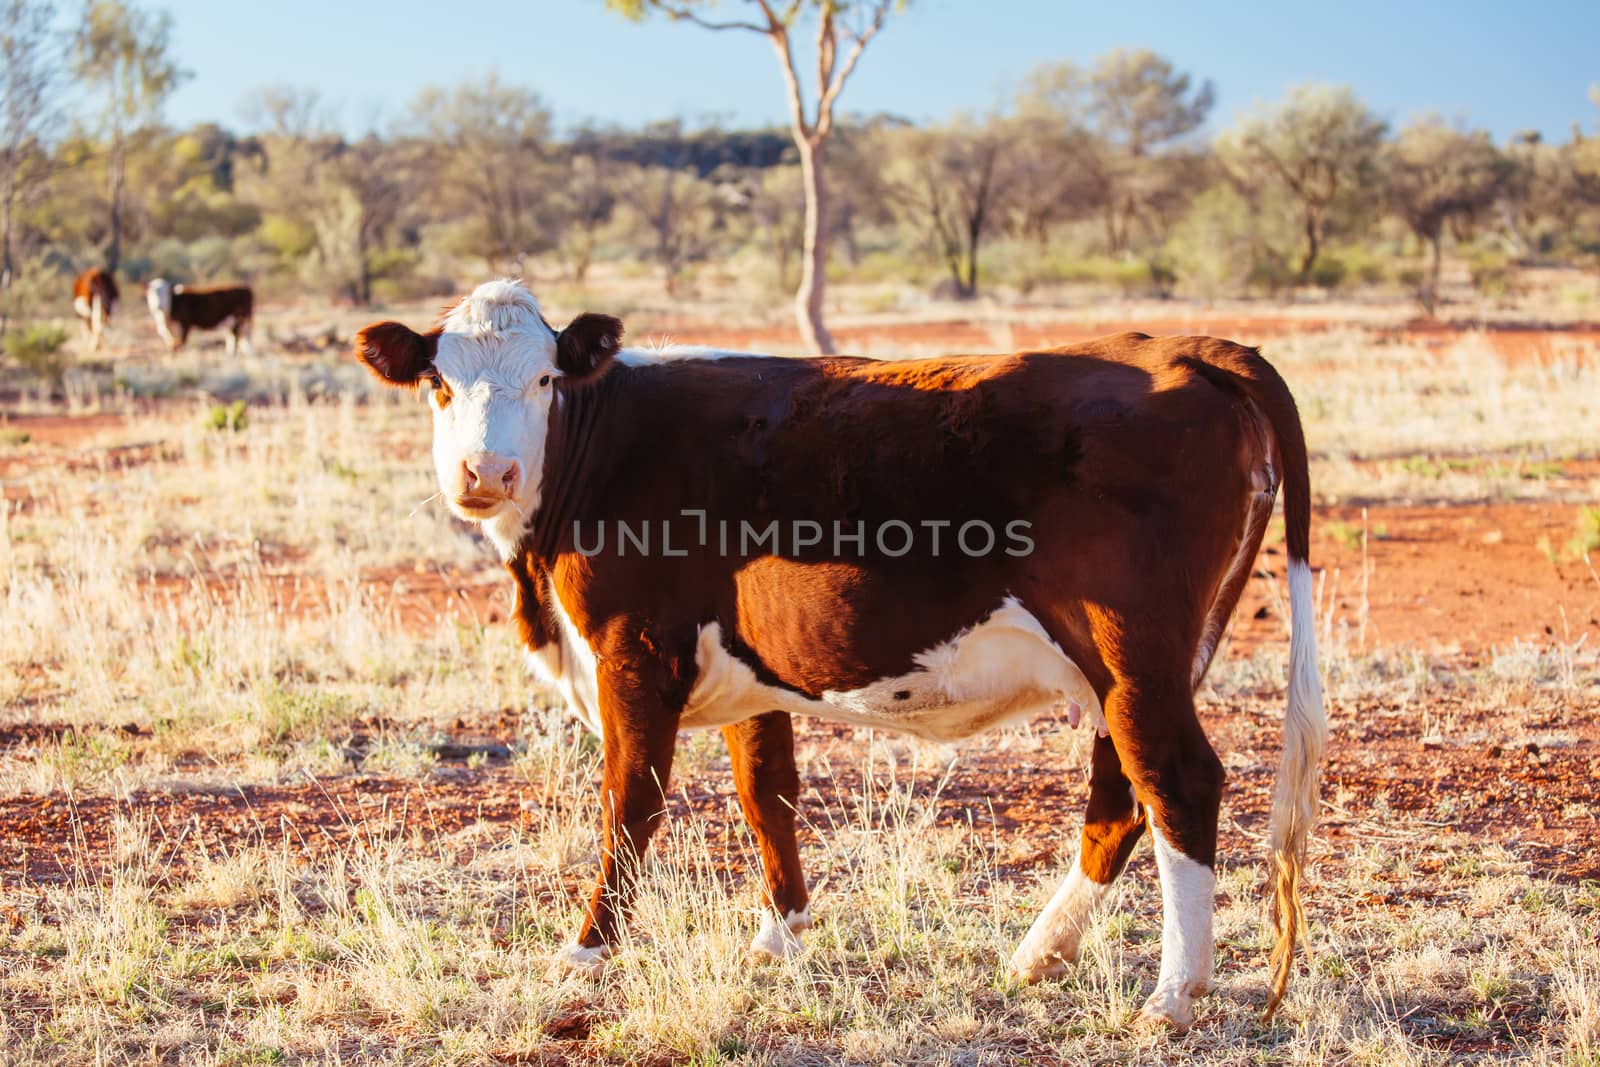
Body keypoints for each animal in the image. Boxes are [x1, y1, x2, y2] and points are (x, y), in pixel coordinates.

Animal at [356, 279, 1331, 1030]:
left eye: (546, 377)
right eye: (438, 382)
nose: (486, 474)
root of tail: (1188, 349)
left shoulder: (634, 653)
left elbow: (629, 803)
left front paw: (586, 951)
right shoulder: (750, 674)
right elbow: (769, 795)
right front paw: (778, 935)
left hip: (1133, 655)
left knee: (1178, 783)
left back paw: (1172, 994)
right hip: (1131, 667)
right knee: (1122, 795)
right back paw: (1038, 953)